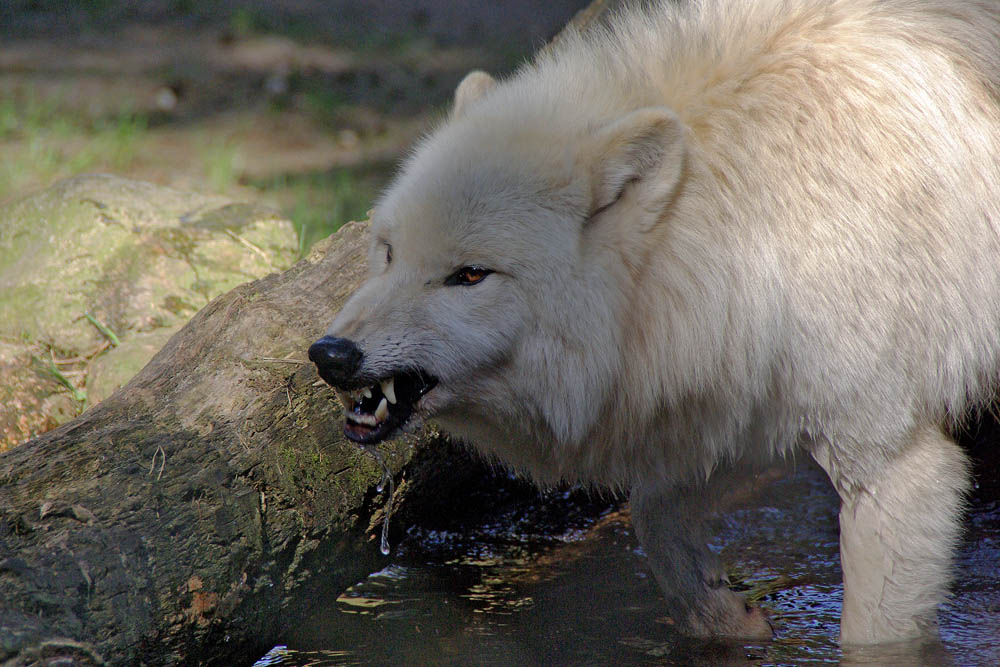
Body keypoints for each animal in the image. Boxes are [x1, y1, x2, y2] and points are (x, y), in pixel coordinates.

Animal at [308, 0, 1000, 648]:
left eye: (470, 275)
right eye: (389, 252)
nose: (330, 354)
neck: (747, 231)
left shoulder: (893, 461)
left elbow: (872, 634)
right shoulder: (734, 390)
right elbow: (656, 516)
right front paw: (727, 617)